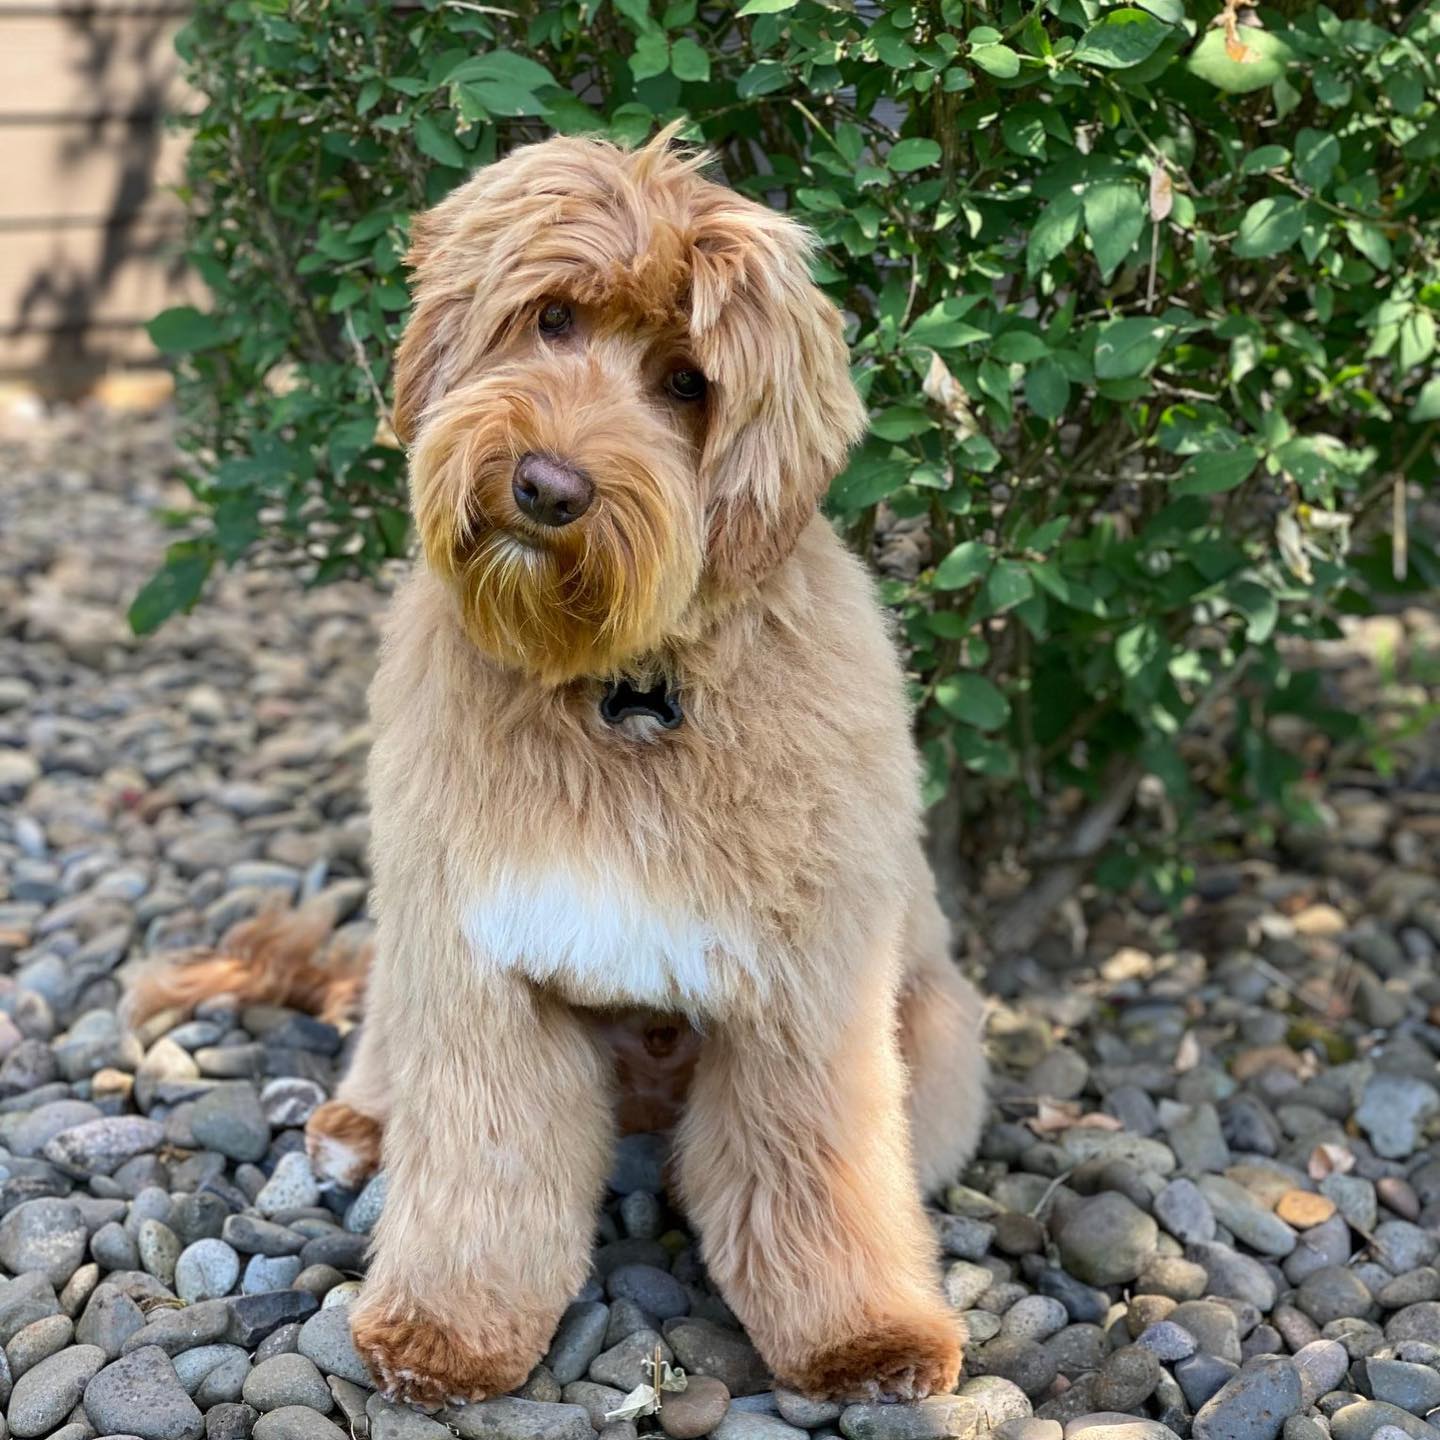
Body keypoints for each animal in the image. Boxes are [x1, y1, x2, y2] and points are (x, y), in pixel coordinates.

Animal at [129, 129, 990, 1411]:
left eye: (688, 383)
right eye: (550, 319)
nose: (547, 486)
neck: (617, 687)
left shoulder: (805, 994)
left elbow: (814, 1168)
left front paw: (864, 1336)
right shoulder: (482, 954)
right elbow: (485, 1161)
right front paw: (446, 1331)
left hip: (935, 1029)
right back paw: (361, 1128)